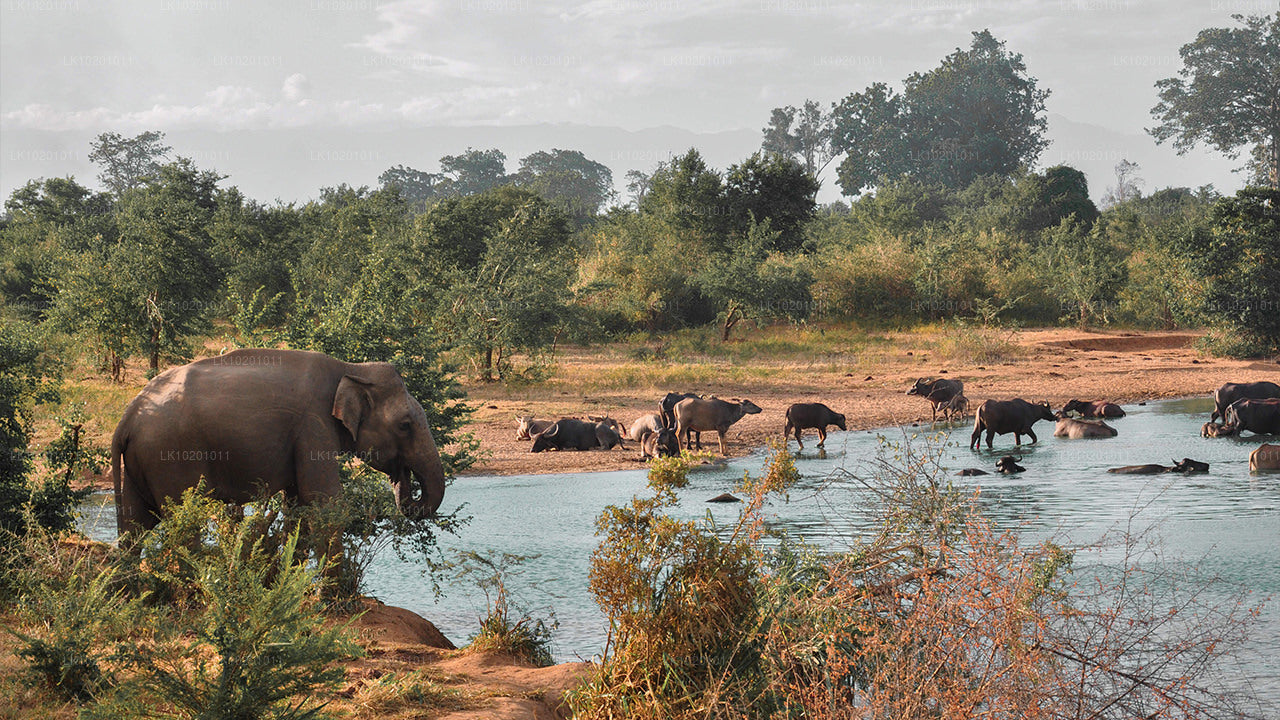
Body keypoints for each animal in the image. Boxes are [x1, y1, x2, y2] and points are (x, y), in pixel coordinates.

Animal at [111, 348, 450, 543]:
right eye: (405, 425)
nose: (403, 477)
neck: (352, 368)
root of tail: (127, 417)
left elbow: (298, 503)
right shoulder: (313, 424)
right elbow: (324, 500)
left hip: (142, 461)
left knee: (135, 525)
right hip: (170, 456)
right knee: (184, 520)